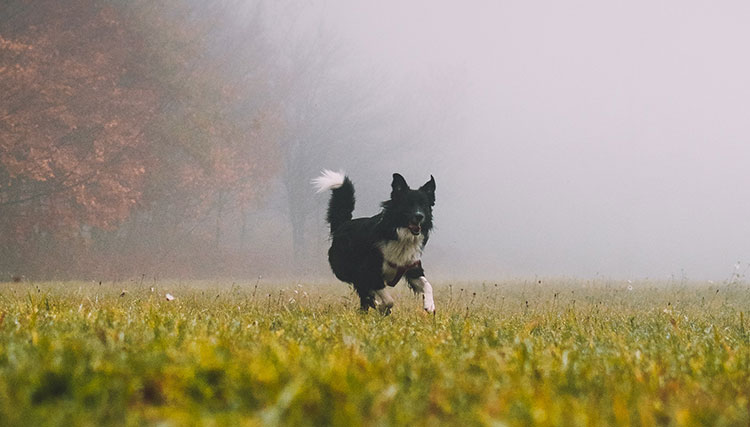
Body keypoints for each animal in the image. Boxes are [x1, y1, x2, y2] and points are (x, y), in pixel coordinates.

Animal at [312, 171, 438, 314]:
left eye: (424, 205)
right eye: (408, 204)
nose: (419, 216)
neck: (399, 235)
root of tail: (344, 224)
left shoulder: (412, 268)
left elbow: (427, 285)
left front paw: (429, 304)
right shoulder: (368, 270)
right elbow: (389, 300)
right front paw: (382, 307)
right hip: (345, 270)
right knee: (363, 291)